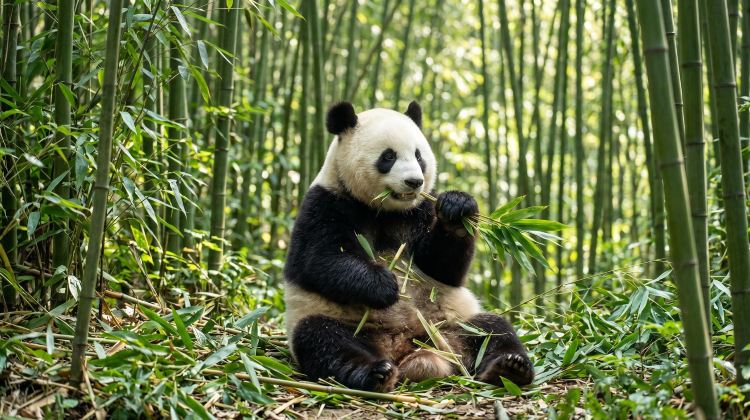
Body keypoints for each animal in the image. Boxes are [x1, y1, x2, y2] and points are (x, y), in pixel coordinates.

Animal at [284, 101, 533, 392]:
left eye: (418, 155)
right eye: (388, 156)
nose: (415, 181)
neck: (385, 210)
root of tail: (405, 349)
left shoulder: (420, 209)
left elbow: (443, 268)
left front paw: (457, 208)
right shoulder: (326, 203)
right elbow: (320, 260)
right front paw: (385, 285)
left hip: (450, 325)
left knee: (492, 328)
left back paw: (510, 367)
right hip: (340, 321)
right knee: (325, 340)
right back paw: (375, 373)